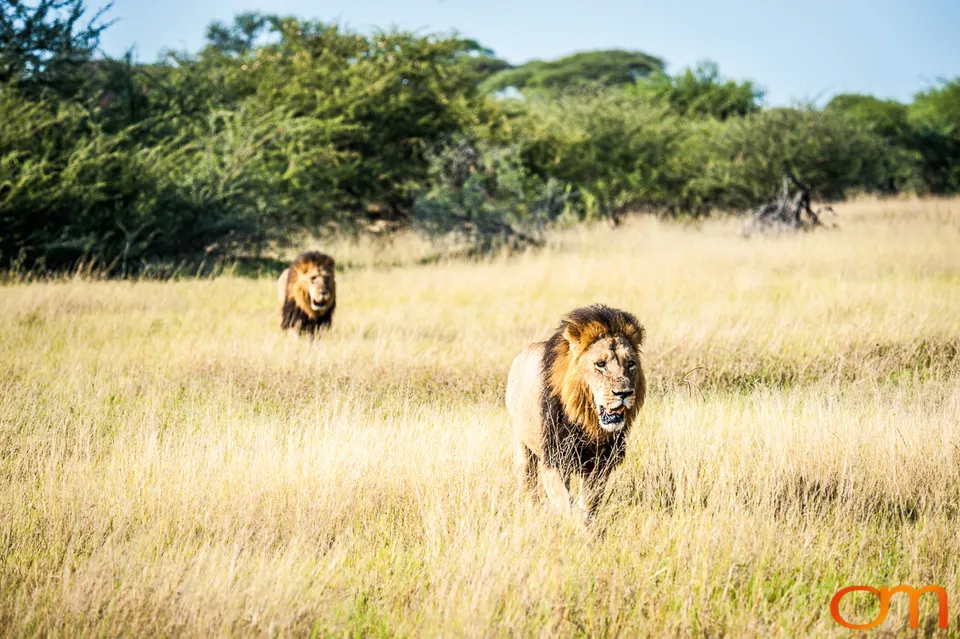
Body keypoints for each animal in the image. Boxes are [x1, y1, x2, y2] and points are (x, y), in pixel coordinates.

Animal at [506, 304, 646, 524]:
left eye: (630, 363)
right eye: (600, 364)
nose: (624, 393)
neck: (587, 422)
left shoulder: (600, 463)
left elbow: (588, 503)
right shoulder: (554, 460)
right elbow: (569, 506)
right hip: (523, 448)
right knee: (528, 486)